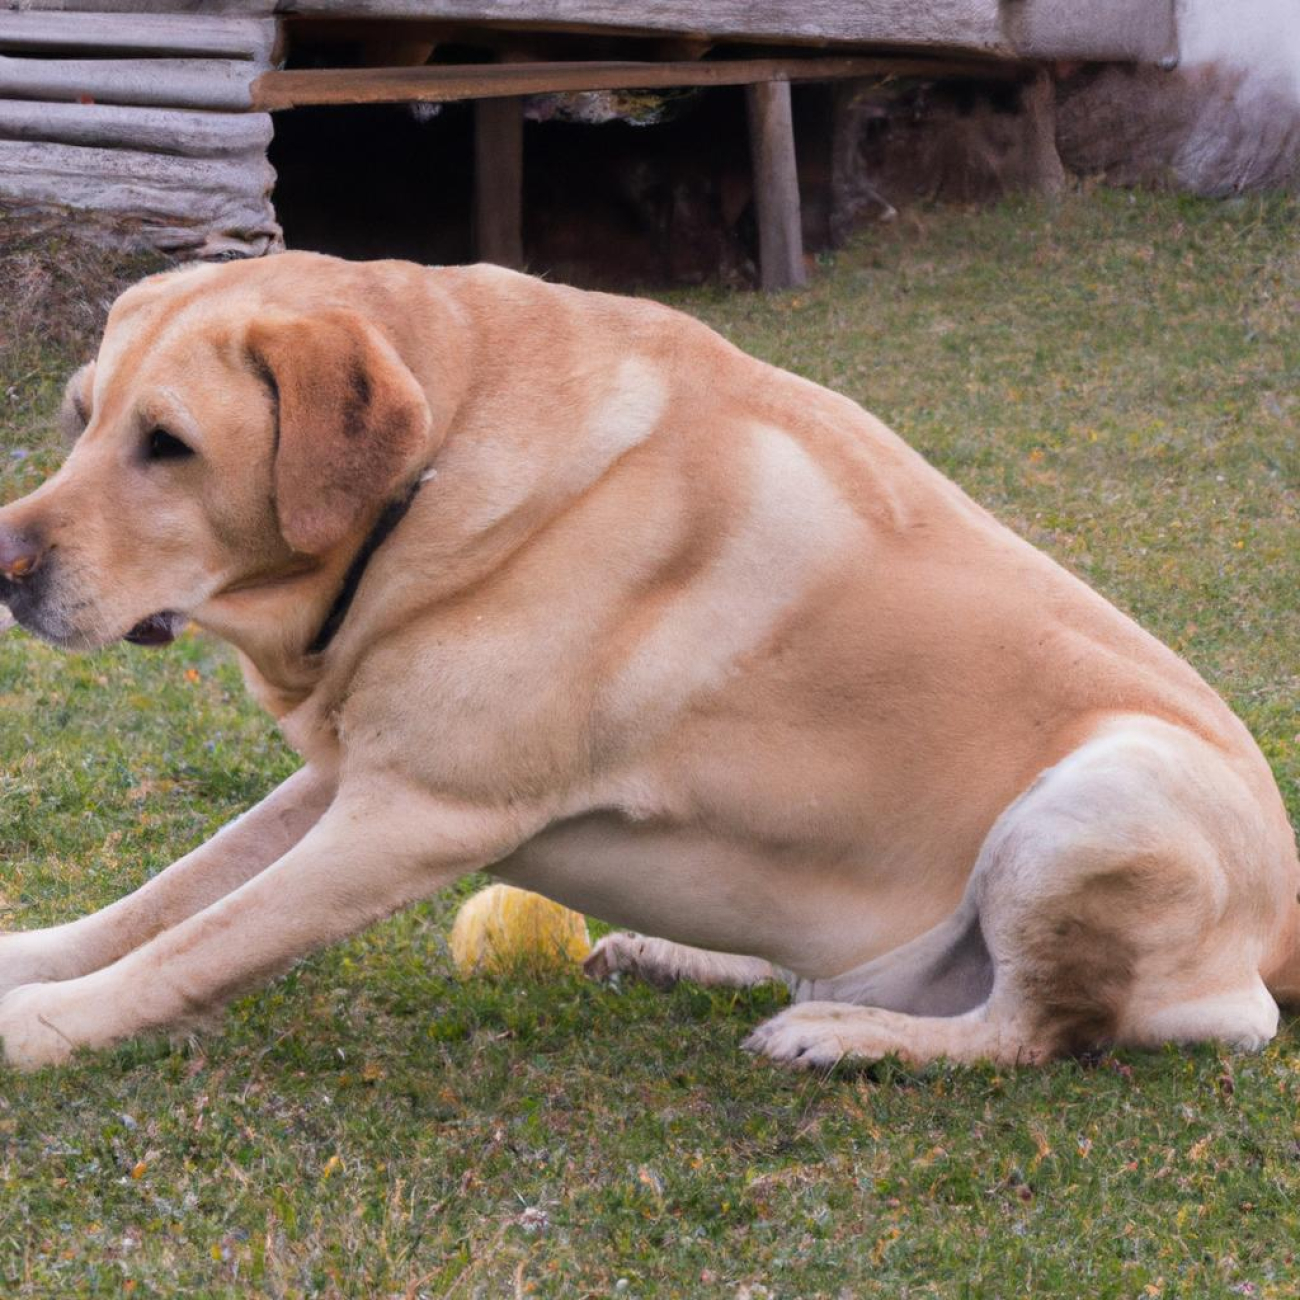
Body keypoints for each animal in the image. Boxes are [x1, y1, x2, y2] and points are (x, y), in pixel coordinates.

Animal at [2, 250, 1300, 1066]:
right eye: (80, 417)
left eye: (168, 444)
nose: (6, 565)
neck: (444, 455)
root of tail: (1278, 934)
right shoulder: (344, 776)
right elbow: (166, 896)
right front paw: (29, 961)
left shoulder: (414, 813)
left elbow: (197, 944)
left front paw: (44, 1029)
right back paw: (677, 957)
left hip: (1103, 791)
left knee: (1041, 1027)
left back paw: (852, 1039)